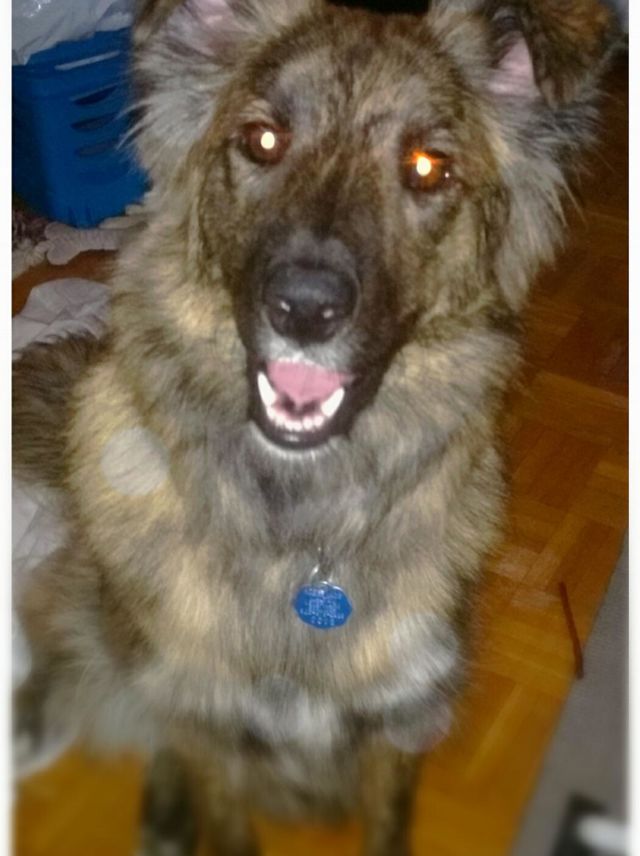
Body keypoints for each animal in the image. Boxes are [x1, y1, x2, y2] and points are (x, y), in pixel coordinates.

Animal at [13, 0, 614, 853]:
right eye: (264, 141)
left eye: (428, 167)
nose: (302, 308)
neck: (299, 534)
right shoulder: (210, 724)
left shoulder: (398, 722)